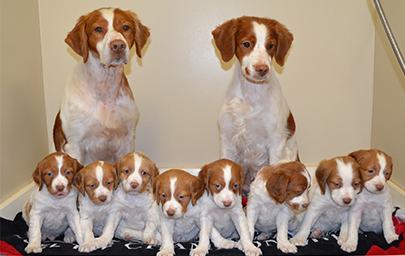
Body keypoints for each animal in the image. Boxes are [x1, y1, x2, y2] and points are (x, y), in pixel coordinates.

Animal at [52, 7, 150, 166]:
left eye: (126, 27)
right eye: (98, 29)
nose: (118, 45)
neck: (106, 89)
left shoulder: (127, 140)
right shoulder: (74, 144)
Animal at [213, 16, 298, 195]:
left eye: (271, 45)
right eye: (246, 44)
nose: (263, 69)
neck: (251, 95)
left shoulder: (276, 142)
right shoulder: (228, 140)